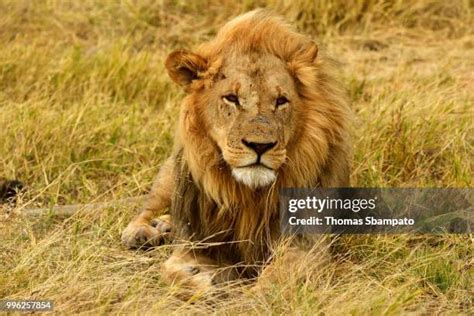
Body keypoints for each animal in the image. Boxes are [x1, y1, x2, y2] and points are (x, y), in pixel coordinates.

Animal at [122, 9, 352, 292]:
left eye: (281, 101)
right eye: (231, 98)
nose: (260, 146)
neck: (249, 195)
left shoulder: (307, 245)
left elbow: (275, 281)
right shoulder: (198, 240)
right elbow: (171, 270)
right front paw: (200, 280)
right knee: (150, 204)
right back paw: (142, 231)